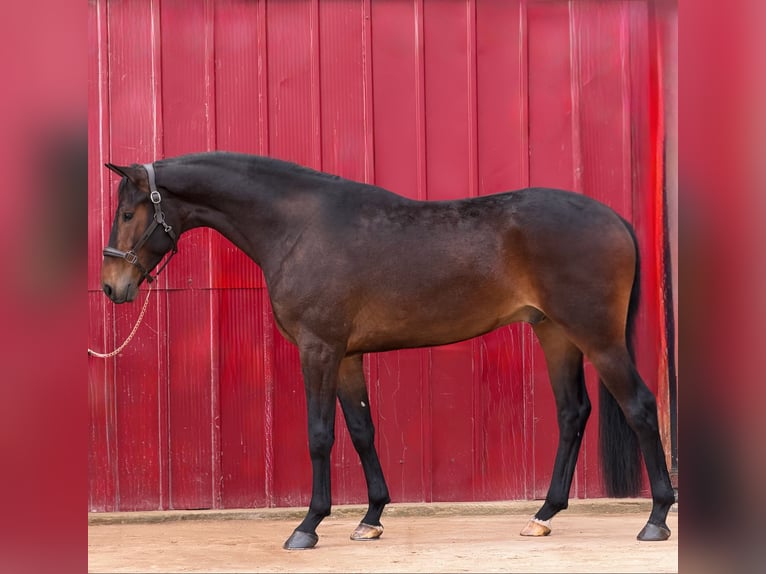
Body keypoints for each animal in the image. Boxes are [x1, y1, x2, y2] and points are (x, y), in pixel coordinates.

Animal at [99, 151, 674, 549]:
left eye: (127, 213)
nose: (111, 287)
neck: (298, 228)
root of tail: (613, 219)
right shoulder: (348, 356)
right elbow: (361, 430)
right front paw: (371, 518)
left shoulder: (319, 350)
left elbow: (320, 435)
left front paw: (308, 526)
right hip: (554, 333)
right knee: (573, 412)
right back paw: (544, 516)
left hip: (597, 337)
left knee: (641, 407)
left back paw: (655, 520)